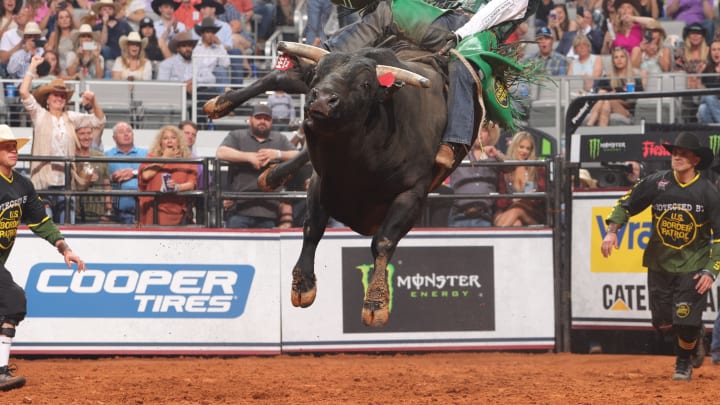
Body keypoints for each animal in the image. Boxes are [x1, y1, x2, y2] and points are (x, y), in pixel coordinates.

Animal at [206, 42, 480, 327]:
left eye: (366, 84)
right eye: (318, 73)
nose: (322, 99)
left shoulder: (412, 194)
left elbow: (383, 241)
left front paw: (376, 303)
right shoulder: (321, 181)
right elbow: (312, 228)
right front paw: (303, 285)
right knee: (284, 77)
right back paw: (223, 109)